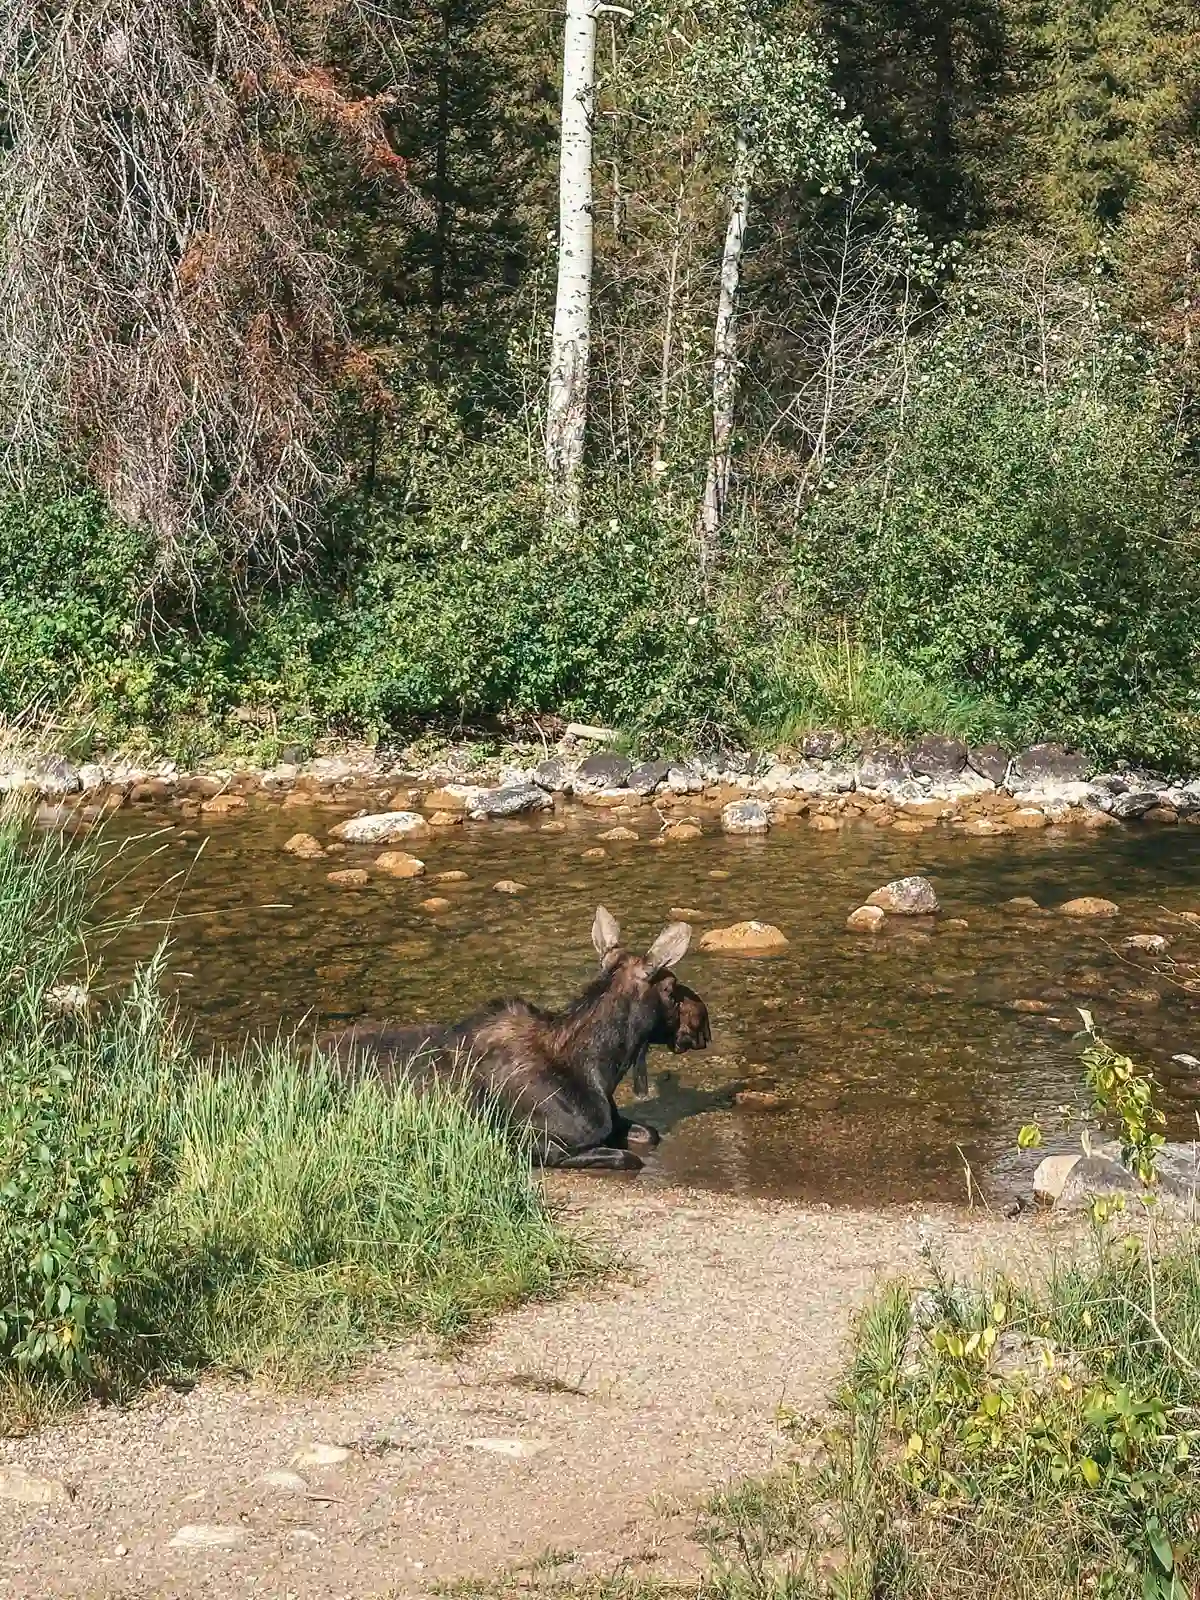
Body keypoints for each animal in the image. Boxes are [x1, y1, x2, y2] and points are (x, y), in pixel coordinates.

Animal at [323, 907, 710, 1170]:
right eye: (672, 988)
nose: (703, 1023)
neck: (602, 1070)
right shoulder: (535, 1144)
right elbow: (627, 1157)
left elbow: (649, 1132)